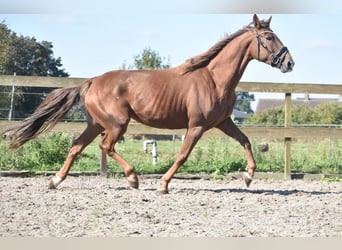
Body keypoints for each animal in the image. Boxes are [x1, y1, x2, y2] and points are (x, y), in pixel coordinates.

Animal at [2, 14, 294, 193]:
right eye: (269, 37)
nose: (290, 63)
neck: (214, 79)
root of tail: (92, 82)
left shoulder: (222, 122)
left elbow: (246, 141)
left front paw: (248, 176)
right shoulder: (197, 126)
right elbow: (183, 155)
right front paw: (163, 185)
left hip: (96, 124)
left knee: (76, 147)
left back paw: (55, 180)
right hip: (116, 124)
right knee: (105, 146)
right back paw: (132, 178)